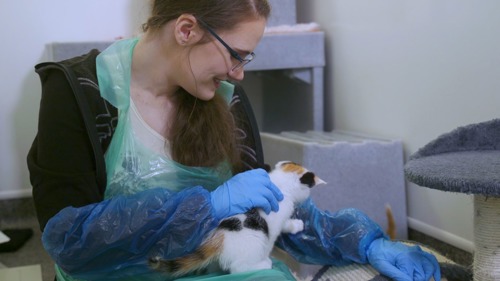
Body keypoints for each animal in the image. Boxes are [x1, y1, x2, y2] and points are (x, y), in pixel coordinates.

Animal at [149, 160, 324, 276]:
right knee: (238, 269)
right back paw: (263, 264)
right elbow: (277, 233)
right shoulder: (274, 225)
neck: (279, 185)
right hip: (254, 241)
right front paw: (295, 226)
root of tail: (218, 238)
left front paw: (297, 225)